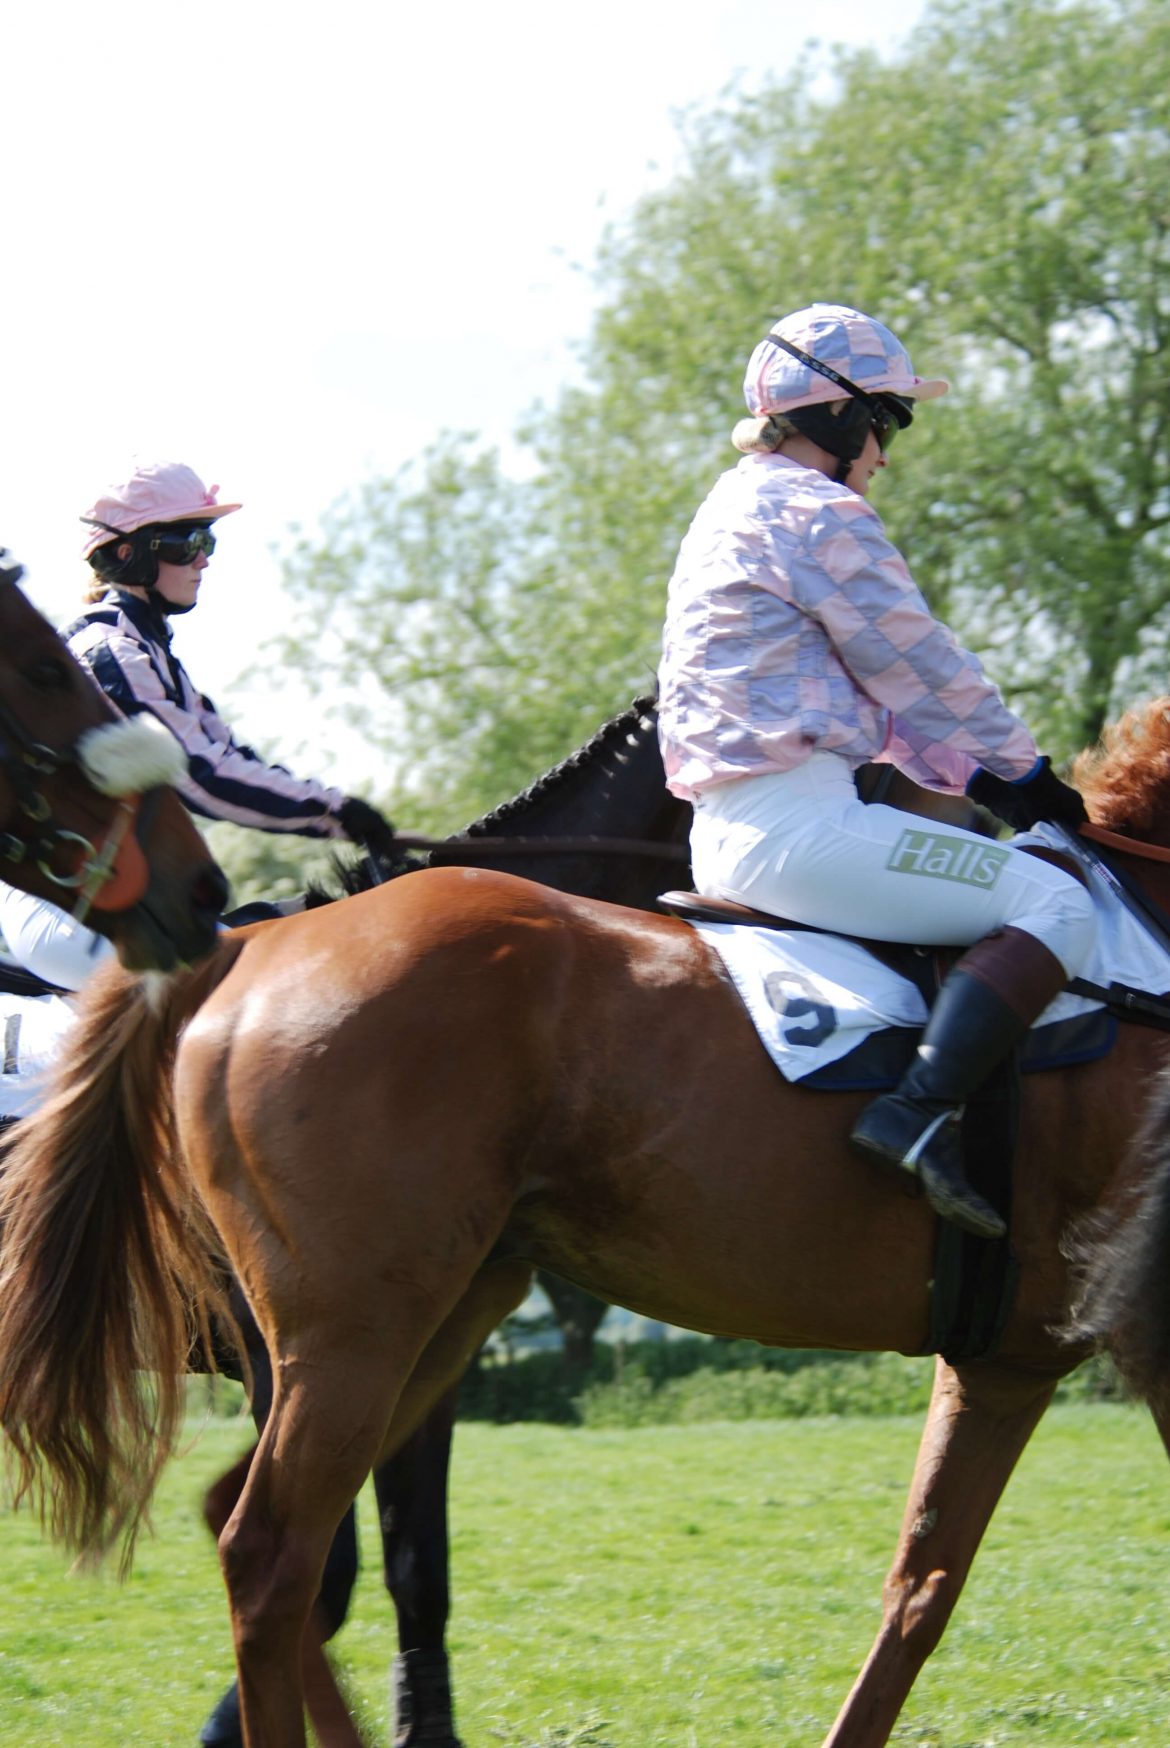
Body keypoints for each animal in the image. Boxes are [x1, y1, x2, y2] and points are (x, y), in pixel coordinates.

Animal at [2, 699, 1168, 1748]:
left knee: (261, 1536)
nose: (964, 808)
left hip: (427, 1323)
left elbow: (921, 1584)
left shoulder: (1010, 1358)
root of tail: (243, 957)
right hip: (350, 1341)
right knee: (273, 1551)